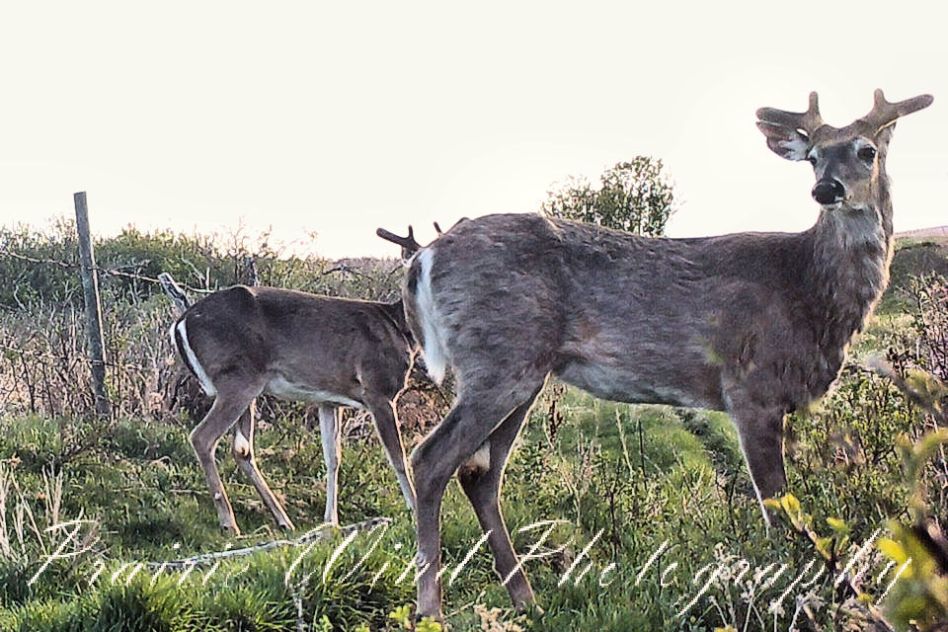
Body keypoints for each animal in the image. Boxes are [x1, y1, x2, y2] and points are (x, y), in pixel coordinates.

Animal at [158, 263, 422, 535]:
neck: (400, 326)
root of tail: (181, 322)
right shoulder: (379, 389)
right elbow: (399, 457)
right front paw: (415, 511)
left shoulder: (330, 400)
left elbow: (332, 459)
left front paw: (331, 521)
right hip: (238, 381)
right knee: (203, 437)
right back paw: (230, 523)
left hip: (245, 386)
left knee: (242, 449)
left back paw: (283, 520)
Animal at [378, 89, 933, 620]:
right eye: (814, 156)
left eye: (866, 151)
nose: (826, 190)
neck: (809, 294)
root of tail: (423, 257)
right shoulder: (751, 387)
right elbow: (779, 507)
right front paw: (802, 594)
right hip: (500, 357)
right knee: (430, 458)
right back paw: (431, 608)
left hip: (521, 370)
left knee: (479, 474)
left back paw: (525, 600)